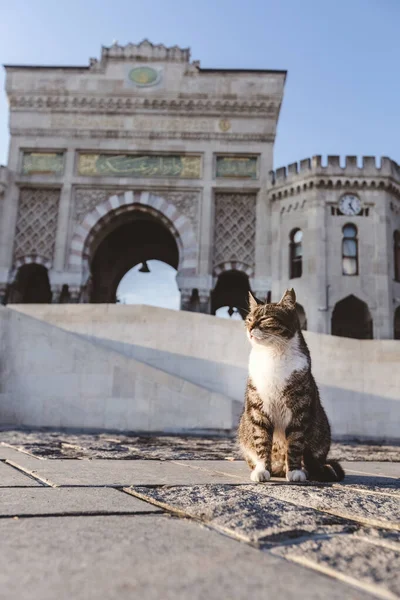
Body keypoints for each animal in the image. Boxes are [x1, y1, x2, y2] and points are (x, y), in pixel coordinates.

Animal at [238, 288, 344, 486]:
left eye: (265, 319)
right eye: (248, 319)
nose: (249, 328)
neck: (271, 355)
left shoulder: (299, 409)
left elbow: (295, 442)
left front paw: (294, 471)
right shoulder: (257, 408)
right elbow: (262, 439)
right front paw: (262, 470)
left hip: (321, 431)